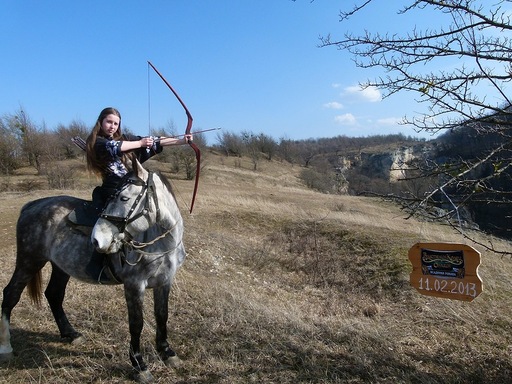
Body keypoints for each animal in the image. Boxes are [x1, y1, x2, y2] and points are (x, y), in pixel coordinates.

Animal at [0, 158, 186, 382]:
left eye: (124, 197)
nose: (96, 240)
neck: (159, 243)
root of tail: (31, 206)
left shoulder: (164, 281)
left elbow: (162, 315)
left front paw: (167, 352)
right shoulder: (134, 285)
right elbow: (136, 323)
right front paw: (139, 365)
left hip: (60, 266)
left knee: (54, 294)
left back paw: (70, 333)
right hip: (29, 260)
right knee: (11, 295)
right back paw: (6, 347)